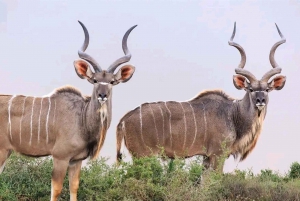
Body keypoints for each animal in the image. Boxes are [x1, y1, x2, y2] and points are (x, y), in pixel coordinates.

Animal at [0, 21, 137, 200]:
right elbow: (56, 189)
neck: (82, 120)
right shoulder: (60, 157)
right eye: (94, 80)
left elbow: (74, 187)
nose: (102, 95)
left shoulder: (76, 160)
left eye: (112, 82)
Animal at [116, 23, 286, 171]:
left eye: (267, 89)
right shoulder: (218, 154)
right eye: (251, 89)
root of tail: (124, 119)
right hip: (143, 156)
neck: (233, 114)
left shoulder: (206, 157)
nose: (260, 101)